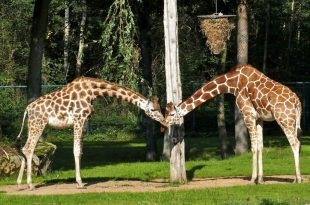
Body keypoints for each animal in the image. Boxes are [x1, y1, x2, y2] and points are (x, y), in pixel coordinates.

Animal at [15, 77, 167, 191]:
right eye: (153, 109)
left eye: (160, 108)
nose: (164, 122)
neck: (93, 91)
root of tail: (27, 109)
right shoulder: (79, 119)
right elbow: (76, 150)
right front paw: (80, 183)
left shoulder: (84, 122)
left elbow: (81, 151)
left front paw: (80, 181)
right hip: (38, 124)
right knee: (29, 148)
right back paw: (30, 184)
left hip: (33, 125)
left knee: (24, 148)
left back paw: (19, 183)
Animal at [166, 65, 302, 184]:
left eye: (171, 114)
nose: (165, 124)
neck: (233, 83)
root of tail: (297, 102)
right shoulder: (259, 118)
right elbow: (260, 147)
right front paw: (260, 180)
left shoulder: (248, 114)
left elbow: (253, 147)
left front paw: (252, 180)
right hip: (293, 122)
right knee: (297, 142)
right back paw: (296, 178)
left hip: (284, 119)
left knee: (295, 143)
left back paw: (298, 179)